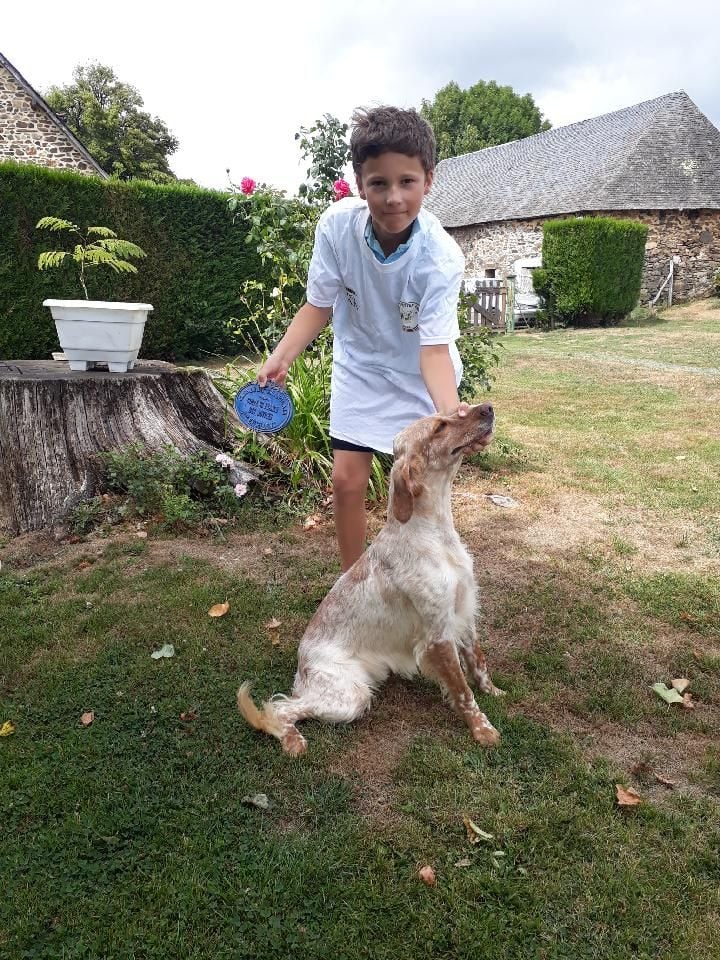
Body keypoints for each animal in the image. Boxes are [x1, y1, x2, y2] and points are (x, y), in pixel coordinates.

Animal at [239, 402, 504, 752]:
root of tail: (302, 665)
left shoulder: (464, 612)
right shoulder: (438, 634)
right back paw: (293, 741)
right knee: (280, 708)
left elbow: (478, 662)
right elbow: (463, 691)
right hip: (350, 696)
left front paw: (494, 692)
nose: (487, 408)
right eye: (439, 427)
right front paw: (482, 729)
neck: (434, 534)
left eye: (453, 415)